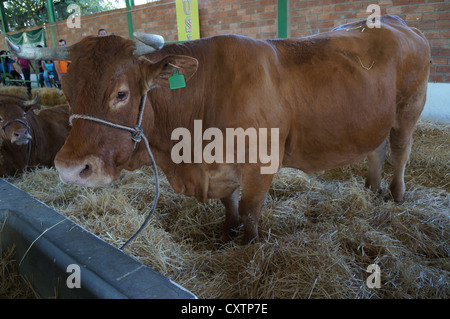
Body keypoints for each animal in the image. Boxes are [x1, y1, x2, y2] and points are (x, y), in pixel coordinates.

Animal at [7, 15, 428, 244]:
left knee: (401, 150)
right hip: (372, 119)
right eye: (68, 91)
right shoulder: (219, 169)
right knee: (375, 148)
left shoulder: (261, 162)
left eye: (121, 94)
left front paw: (249, 245)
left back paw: (396, 194)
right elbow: (230, 204)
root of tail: (397, 23)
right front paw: (227, 233)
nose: (69, 169)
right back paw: (371, 189)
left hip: (409, 110)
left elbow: (251, 209)